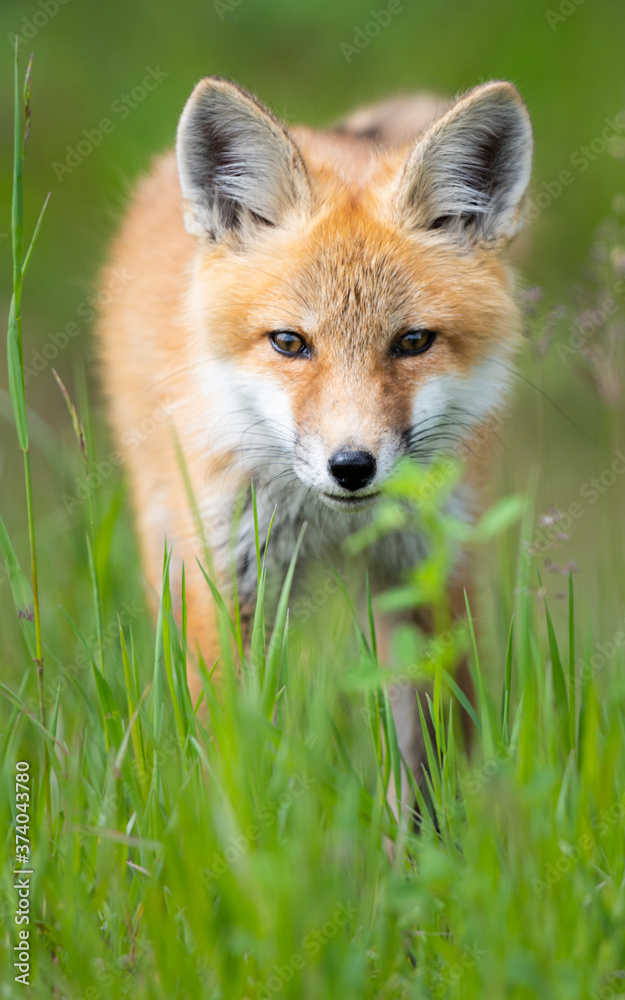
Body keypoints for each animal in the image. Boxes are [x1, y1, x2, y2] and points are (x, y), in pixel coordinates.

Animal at [97, 76, 533, 793]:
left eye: (412, 342)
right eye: (289, 343)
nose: (351, 467)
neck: (328, 522)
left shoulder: (427, 573)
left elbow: (432, 752)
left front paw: (433, 828)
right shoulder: (228, 580)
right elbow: (231, 754)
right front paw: (238, 822)